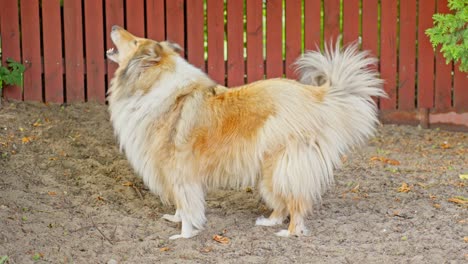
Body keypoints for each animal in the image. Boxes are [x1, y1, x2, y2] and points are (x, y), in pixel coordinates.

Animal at [108, 25, 386, 239]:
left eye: (135, 41)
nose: (113, 26)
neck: (151, 83)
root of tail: (314, 94)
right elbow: (180, 204)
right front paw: (175, 219)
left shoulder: (180, 170)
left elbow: (187, 205)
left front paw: (184, 234)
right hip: (269, 168)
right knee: (282, 202)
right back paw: (269, 221)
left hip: (282, 164)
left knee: (296, 203)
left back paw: (289, 233)